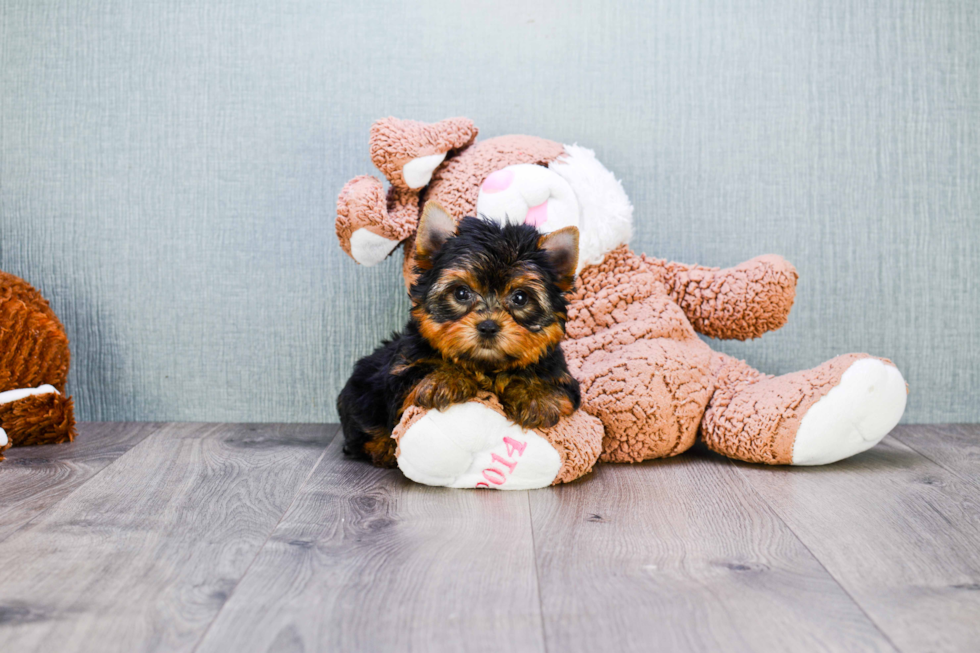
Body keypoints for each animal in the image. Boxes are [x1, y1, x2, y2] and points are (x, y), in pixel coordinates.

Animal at [338, 201, 580, 466]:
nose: (488, 326)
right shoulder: (401, 371)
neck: (486, 366)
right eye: (461, 293)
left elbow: (545, 382)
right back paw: (383, 448)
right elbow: (420, 372)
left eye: (520, 298)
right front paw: (446, 378)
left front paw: (535, 396)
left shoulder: (561, 376)